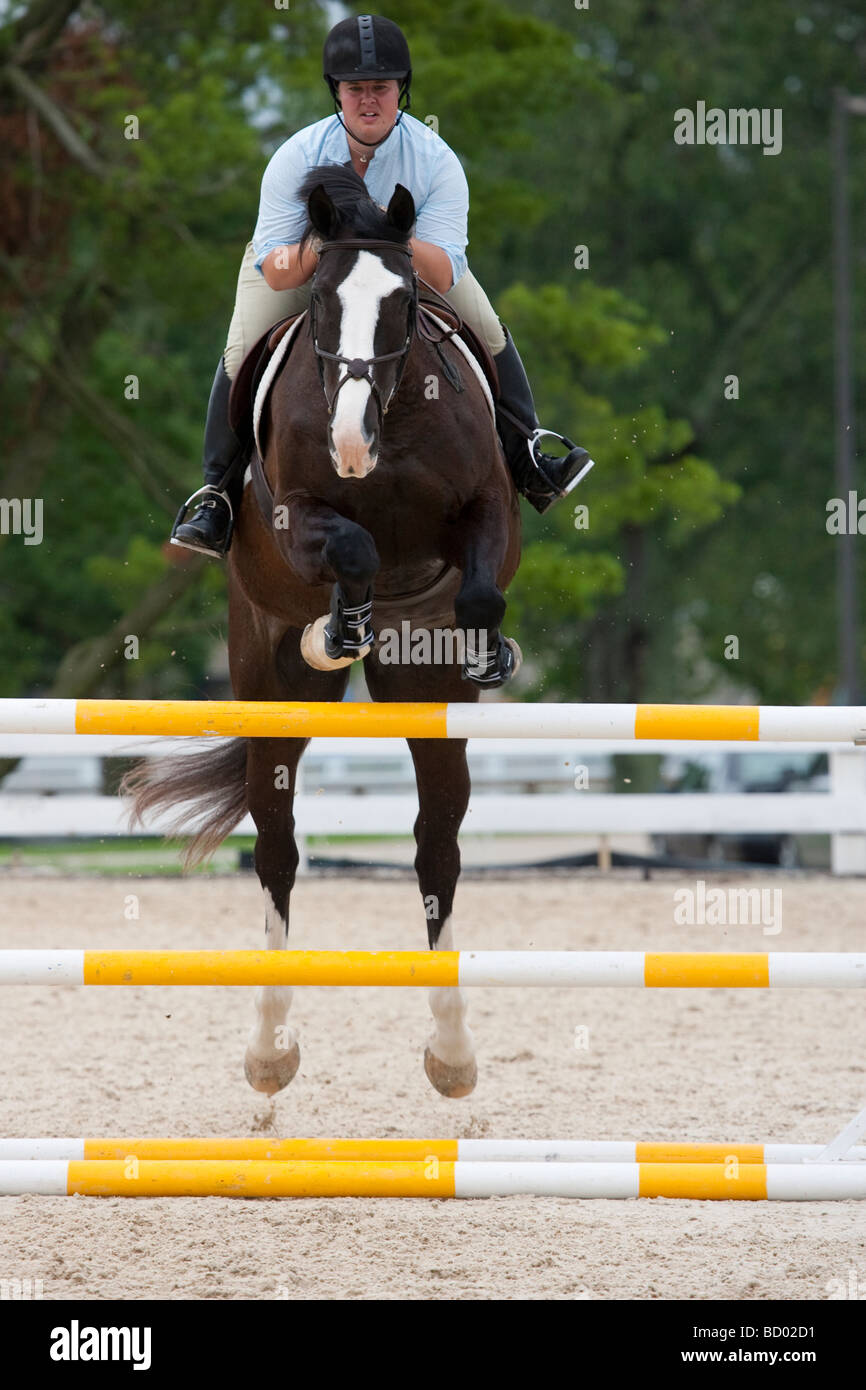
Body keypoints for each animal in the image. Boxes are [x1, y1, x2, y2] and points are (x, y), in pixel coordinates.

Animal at [126, 164, 521, 1099]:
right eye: (319, 303)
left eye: (406, 304)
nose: (350, 444)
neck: (393, 424)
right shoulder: (296, 515)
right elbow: (352, 546)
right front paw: (340, 623)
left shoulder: (487, 511)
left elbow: (478, 592)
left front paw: (489, 648)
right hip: (267, 688)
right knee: (276, 850)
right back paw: (270, 1052)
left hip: (427, 705)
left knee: (436, 850)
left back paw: (452, 1054)